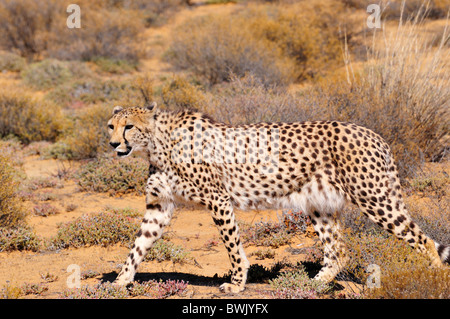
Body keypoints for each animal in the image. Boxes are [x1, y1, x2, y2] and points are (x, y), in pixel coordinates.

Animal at [107, 104, 448, 294]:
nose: (112, 144)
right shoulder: (159, 207)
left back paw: (433, 279)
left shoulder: (219, 199)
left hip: (375, 198)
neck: (158, 145)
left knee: (424, 241)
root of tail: (374, 133)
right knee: (338, 251)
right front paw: (121, 280)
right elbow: (138, 245)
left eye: (129, 127)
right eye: (111, 126)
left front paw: (236, 283)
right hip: (320, 205)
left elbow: (233, 247)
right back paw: (312, 284)